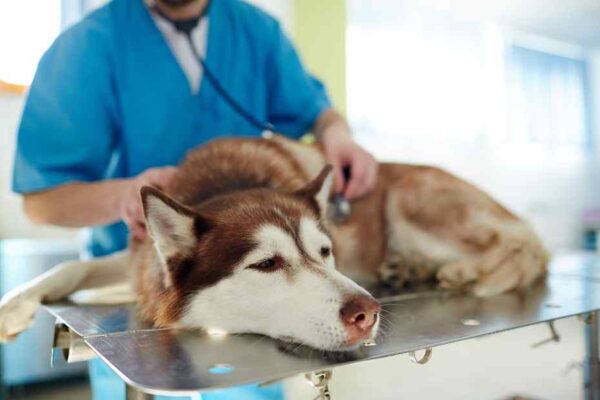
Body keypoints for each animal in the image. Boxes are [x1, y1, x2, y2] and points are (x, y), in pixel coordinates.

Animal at [0, 134, 548, 350]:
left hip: (413, 200)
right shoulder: (141, 260)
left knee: (524, 244)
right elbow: (69, 267)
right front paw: (14, 305)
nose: (367, 313)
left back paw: (463, 272)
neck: (227, 183)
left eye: (325, 253)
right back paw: (410, 269)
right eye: (266, 264)